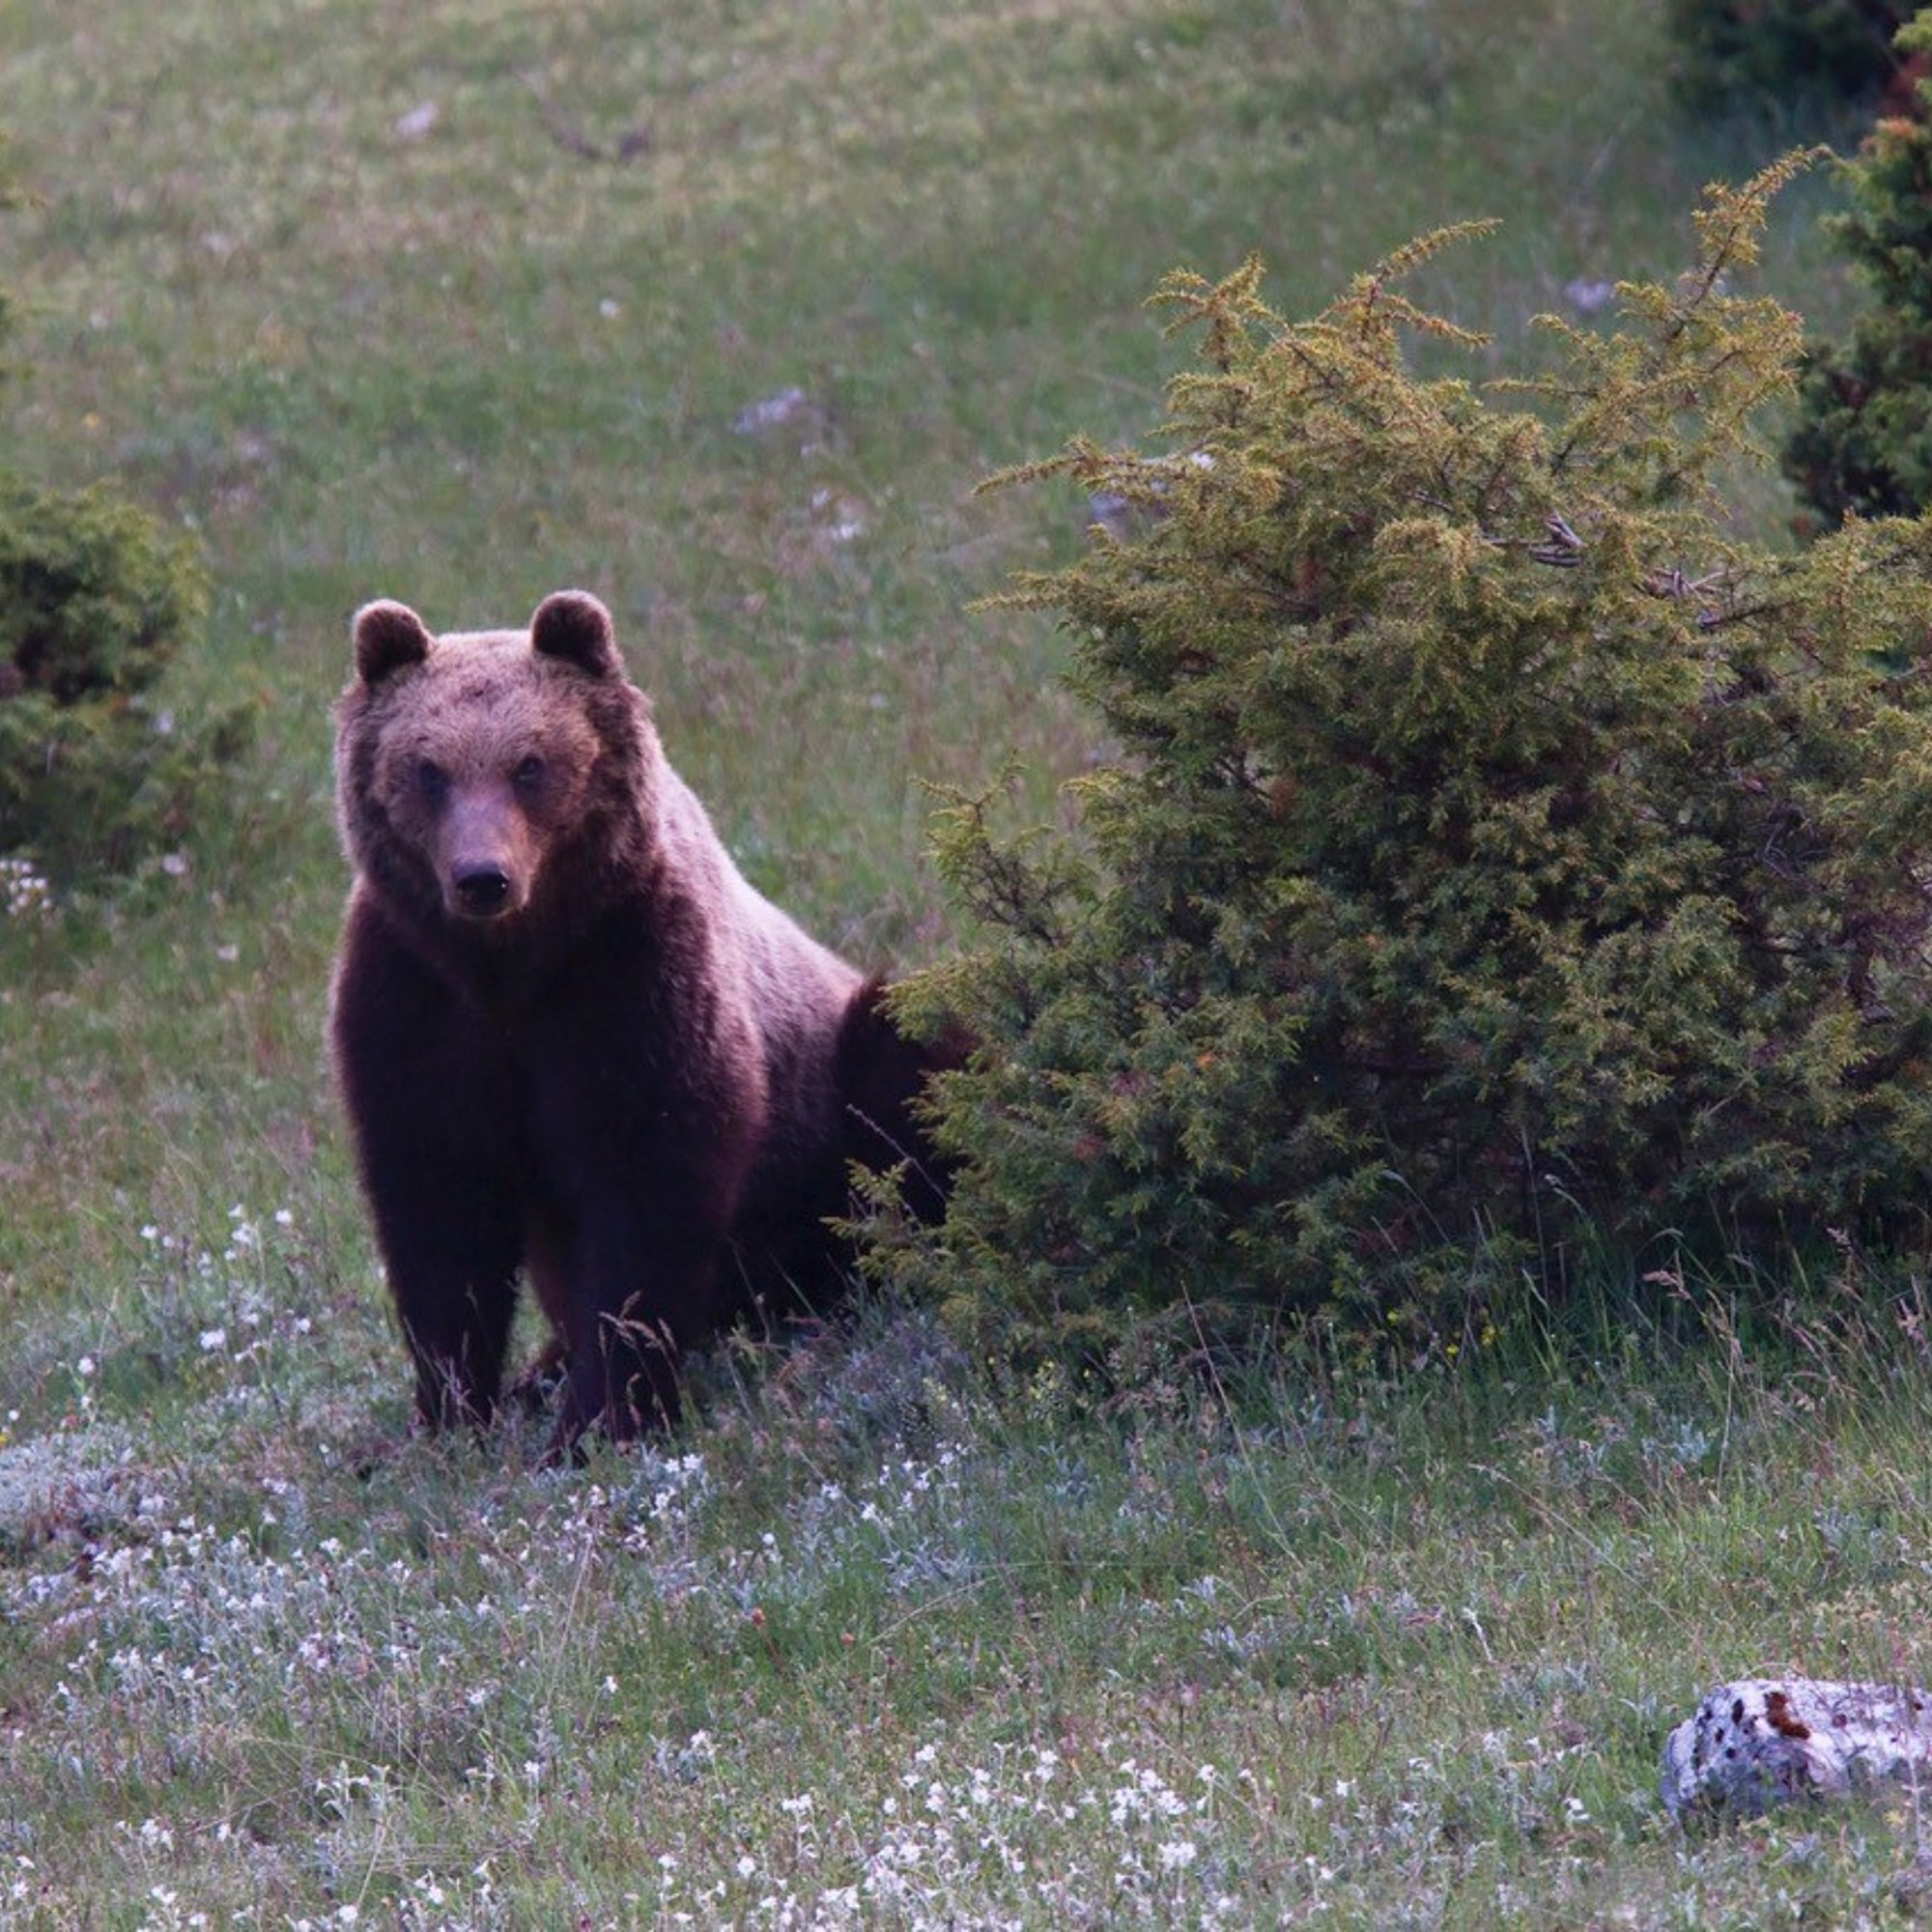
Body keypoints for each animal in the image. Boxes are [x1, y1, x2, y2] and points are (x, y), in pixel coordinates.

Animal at [336, 595, 954, 1453]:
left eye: (531, 763)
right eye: (429, 769)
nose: (482, 878)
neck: (511, 967)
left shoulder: (631, 975)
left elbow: (645, 1185)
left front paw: (599, 1419)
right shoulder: (416, 995)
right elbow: (438, 1208)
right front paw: (450, 1413)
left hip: (833, 1104)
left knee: (911, 1063)